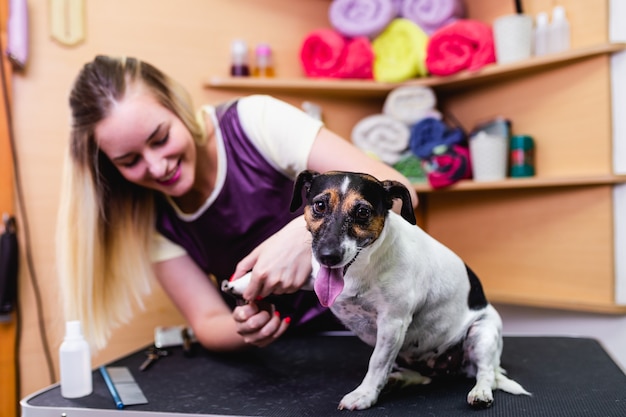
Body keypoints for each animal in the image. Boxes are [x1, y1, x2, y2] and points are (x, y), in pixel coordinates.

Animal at [288, 170, 528, 410]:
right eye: (320, 205)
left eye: (363, 212)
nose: (328, 256)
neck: (361, 267)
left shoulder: (392, 323)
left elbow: (377, 363)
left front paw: (364, 394)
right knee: (421, 377)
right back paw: (397, 380)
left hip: (482, 333)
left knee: (486, 373)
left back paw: (480, 392)